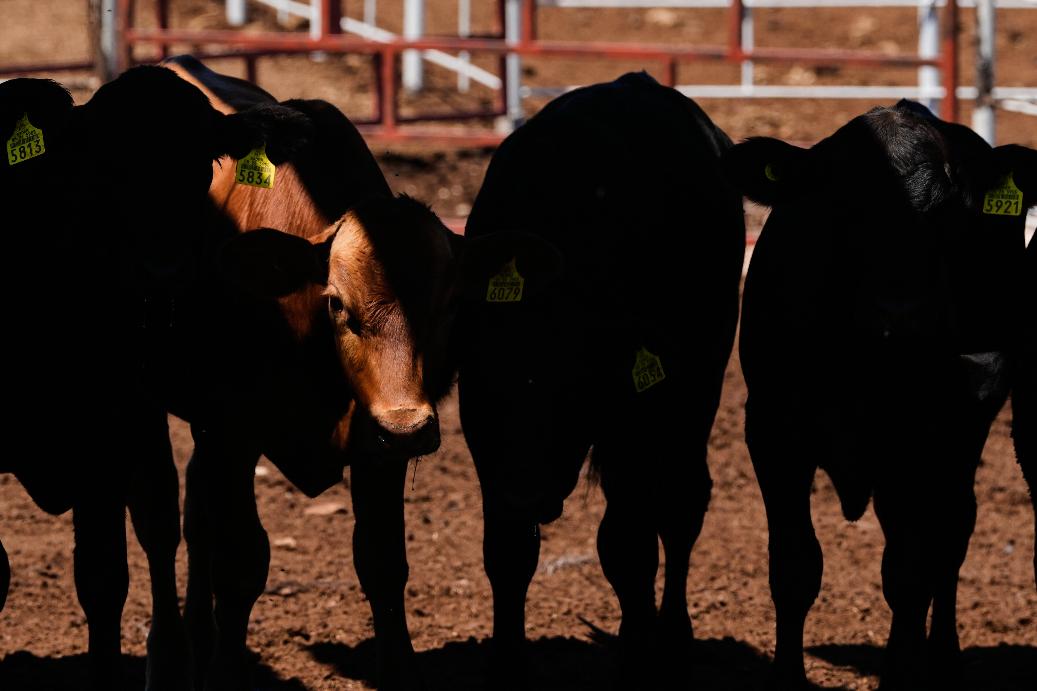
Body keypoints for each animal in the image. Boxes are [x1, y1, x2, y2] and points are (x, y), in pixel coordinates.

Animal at [162, 55, 464, 691]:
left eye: (451, 303)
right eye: (338, 305)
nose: (409, 427)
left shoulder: (377, 447)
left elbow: (382, 561)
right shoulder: (232, 433)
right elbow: (241, 561)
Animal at [454, 72, 745, 688]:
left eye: (571, 381)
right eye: (482, 370)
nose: (526, 488)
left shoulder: (632, 411)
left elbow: (628, 545)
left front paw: (637, 655)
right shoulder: (487, 441)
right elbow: (508, 549)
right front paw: (507, 661)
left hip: (696, 390)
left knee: (681, 504)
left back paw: (673, 638)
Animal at [723, 101, 1035, 689]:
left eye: (949, 213)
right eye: (841, 210)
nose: (902, 314)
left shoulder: (927, 437)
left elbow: (910, 574)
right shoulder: (774, 430)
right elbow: (795, 566)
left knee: (951, 533)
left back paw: (942, 659)